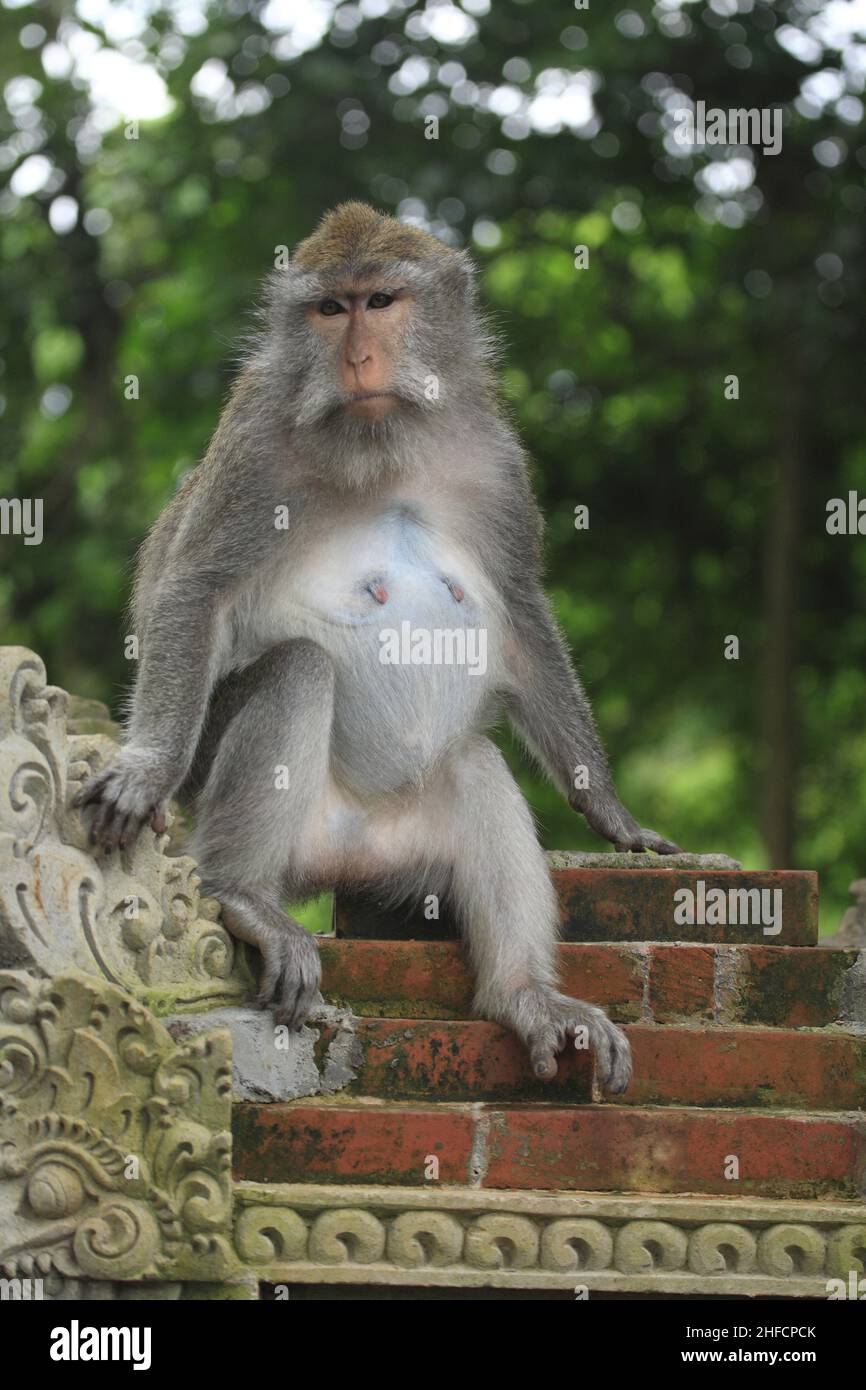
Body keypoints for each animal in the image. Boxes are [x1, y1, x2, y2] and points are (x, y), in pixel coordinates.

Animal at [76, 201, 683, 1089]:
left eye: (383, 301)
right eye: (331, 309)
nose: (359, 356)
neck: (381, 439)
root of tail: (337, 859)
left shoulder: (497, 459)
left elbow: (521, 611)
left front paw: (608, 807)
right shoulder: (253, 444)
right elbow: (194, 590)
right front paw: (145, 769)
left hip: (408, 861)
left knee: (472, 762)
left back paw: (525, 995)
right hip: (242, 810)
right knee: (298, 670)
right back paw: (243, 897)